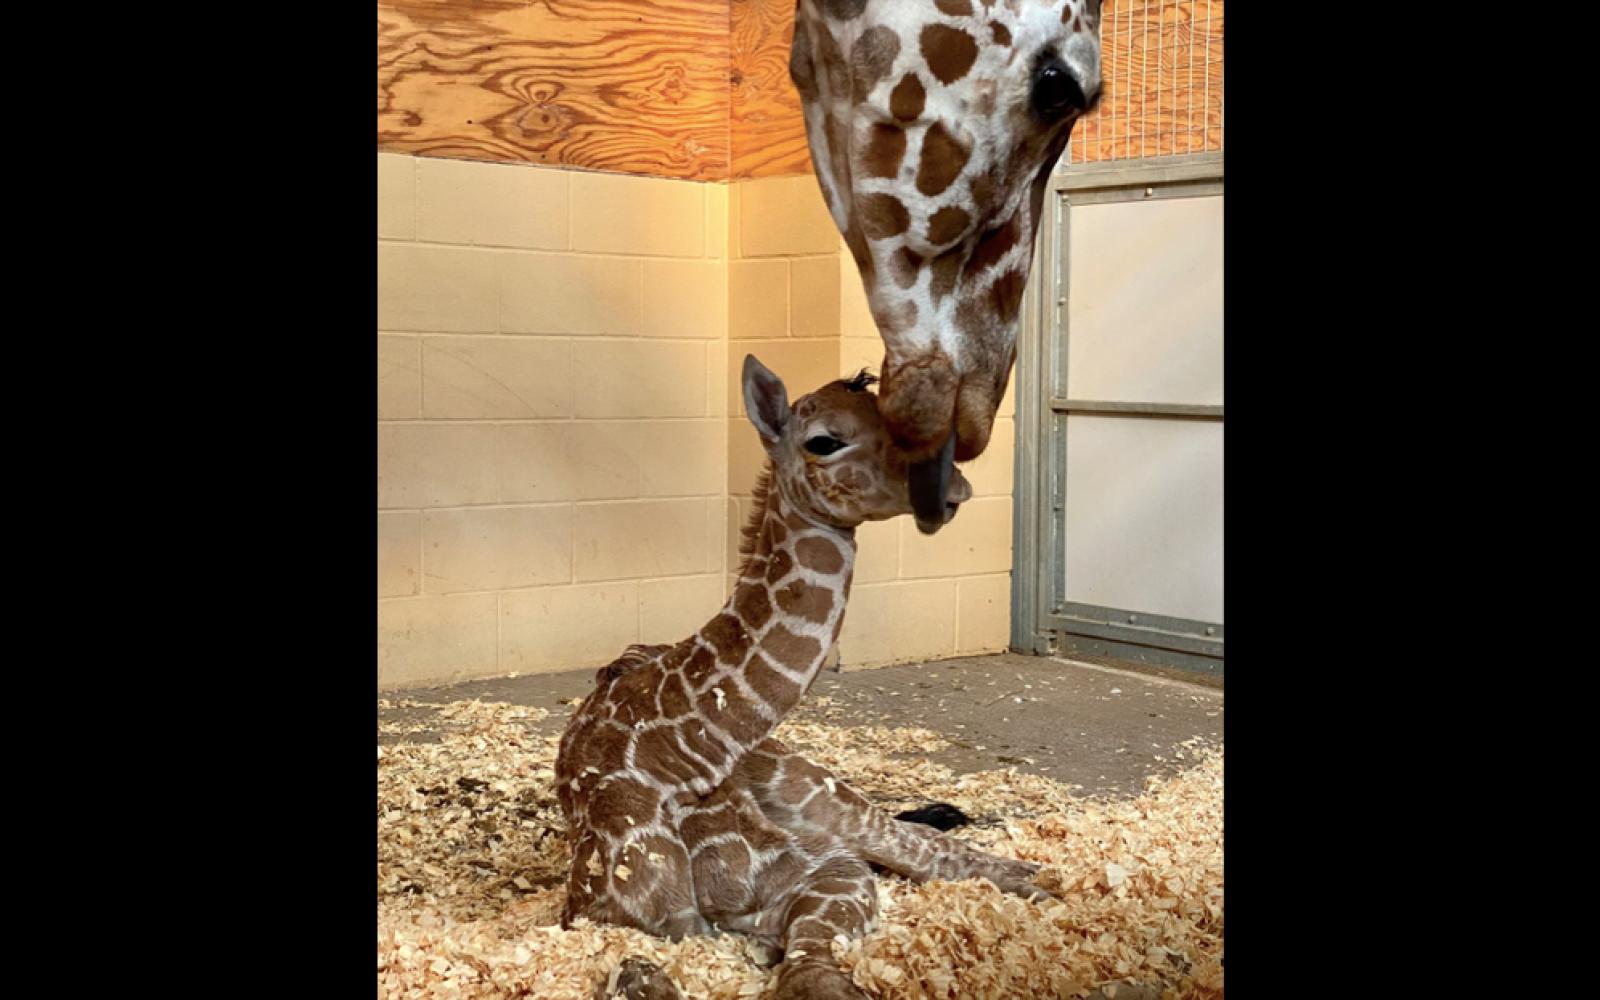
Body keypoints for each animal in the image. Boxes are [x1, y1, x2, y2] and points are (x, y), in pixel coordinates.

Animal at [557, 356, 1055, 1000]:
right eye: (824, 441)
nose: (954, 489)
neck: (668, 752)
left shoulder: (824, 868)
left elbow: (812, 968)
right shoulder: (611, 915)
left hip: (829, 798)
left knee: (934, 844)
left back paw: (1048, 880)